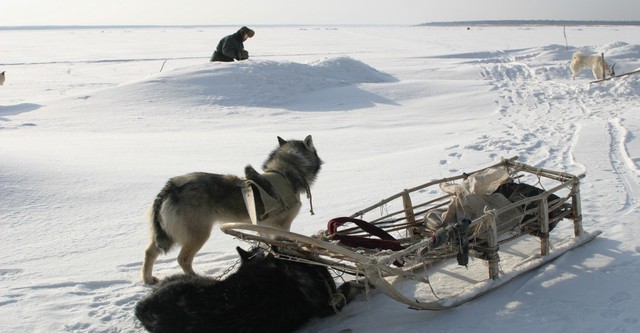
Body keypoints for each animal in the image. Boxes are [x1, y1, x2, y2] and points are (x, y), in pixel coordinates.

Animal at [142, 135, 322, 282]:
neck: (284, 173)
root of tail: (172, 186)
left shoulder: (263, 226)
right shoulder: (281, 226)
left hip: (167, 235)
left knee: (150, 252)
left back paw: (148, 279)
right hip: (198, 234)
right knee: (183, 259)